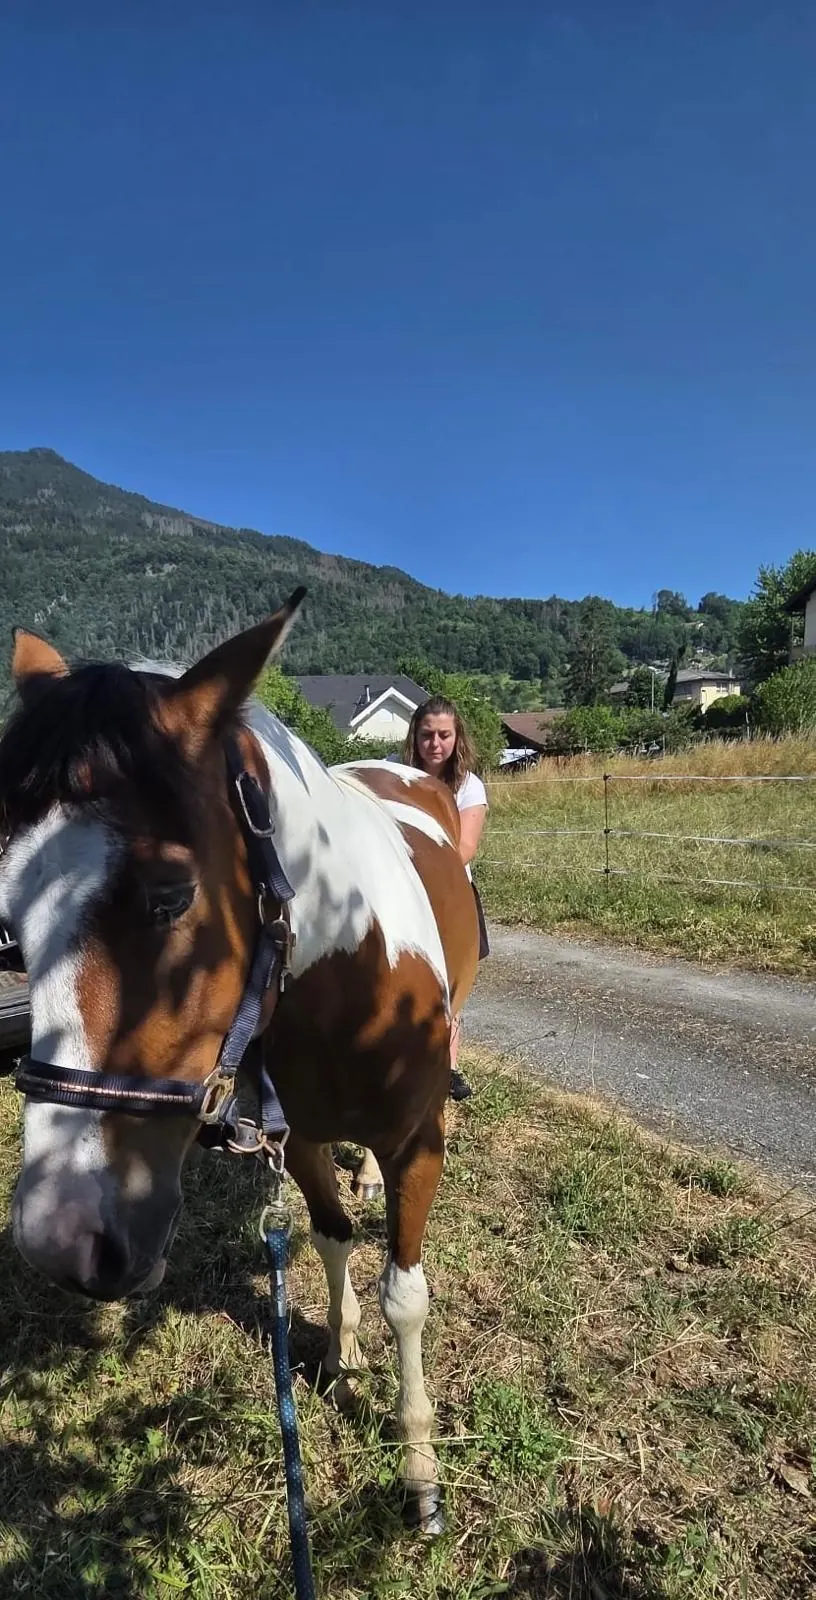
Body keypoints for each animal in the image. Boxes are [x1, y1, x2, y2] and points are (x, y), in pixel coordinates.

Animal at [0, 591, 479, 1534]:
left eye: (171, 894)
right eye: (9, 922)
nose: (61, 1243)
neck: (345, 975)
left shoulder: (420, 1143)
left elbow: (408, 1294)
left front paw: (419, 1469)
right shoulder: (300, 1138)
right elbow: (332, 1237)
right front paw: (341, 1352)